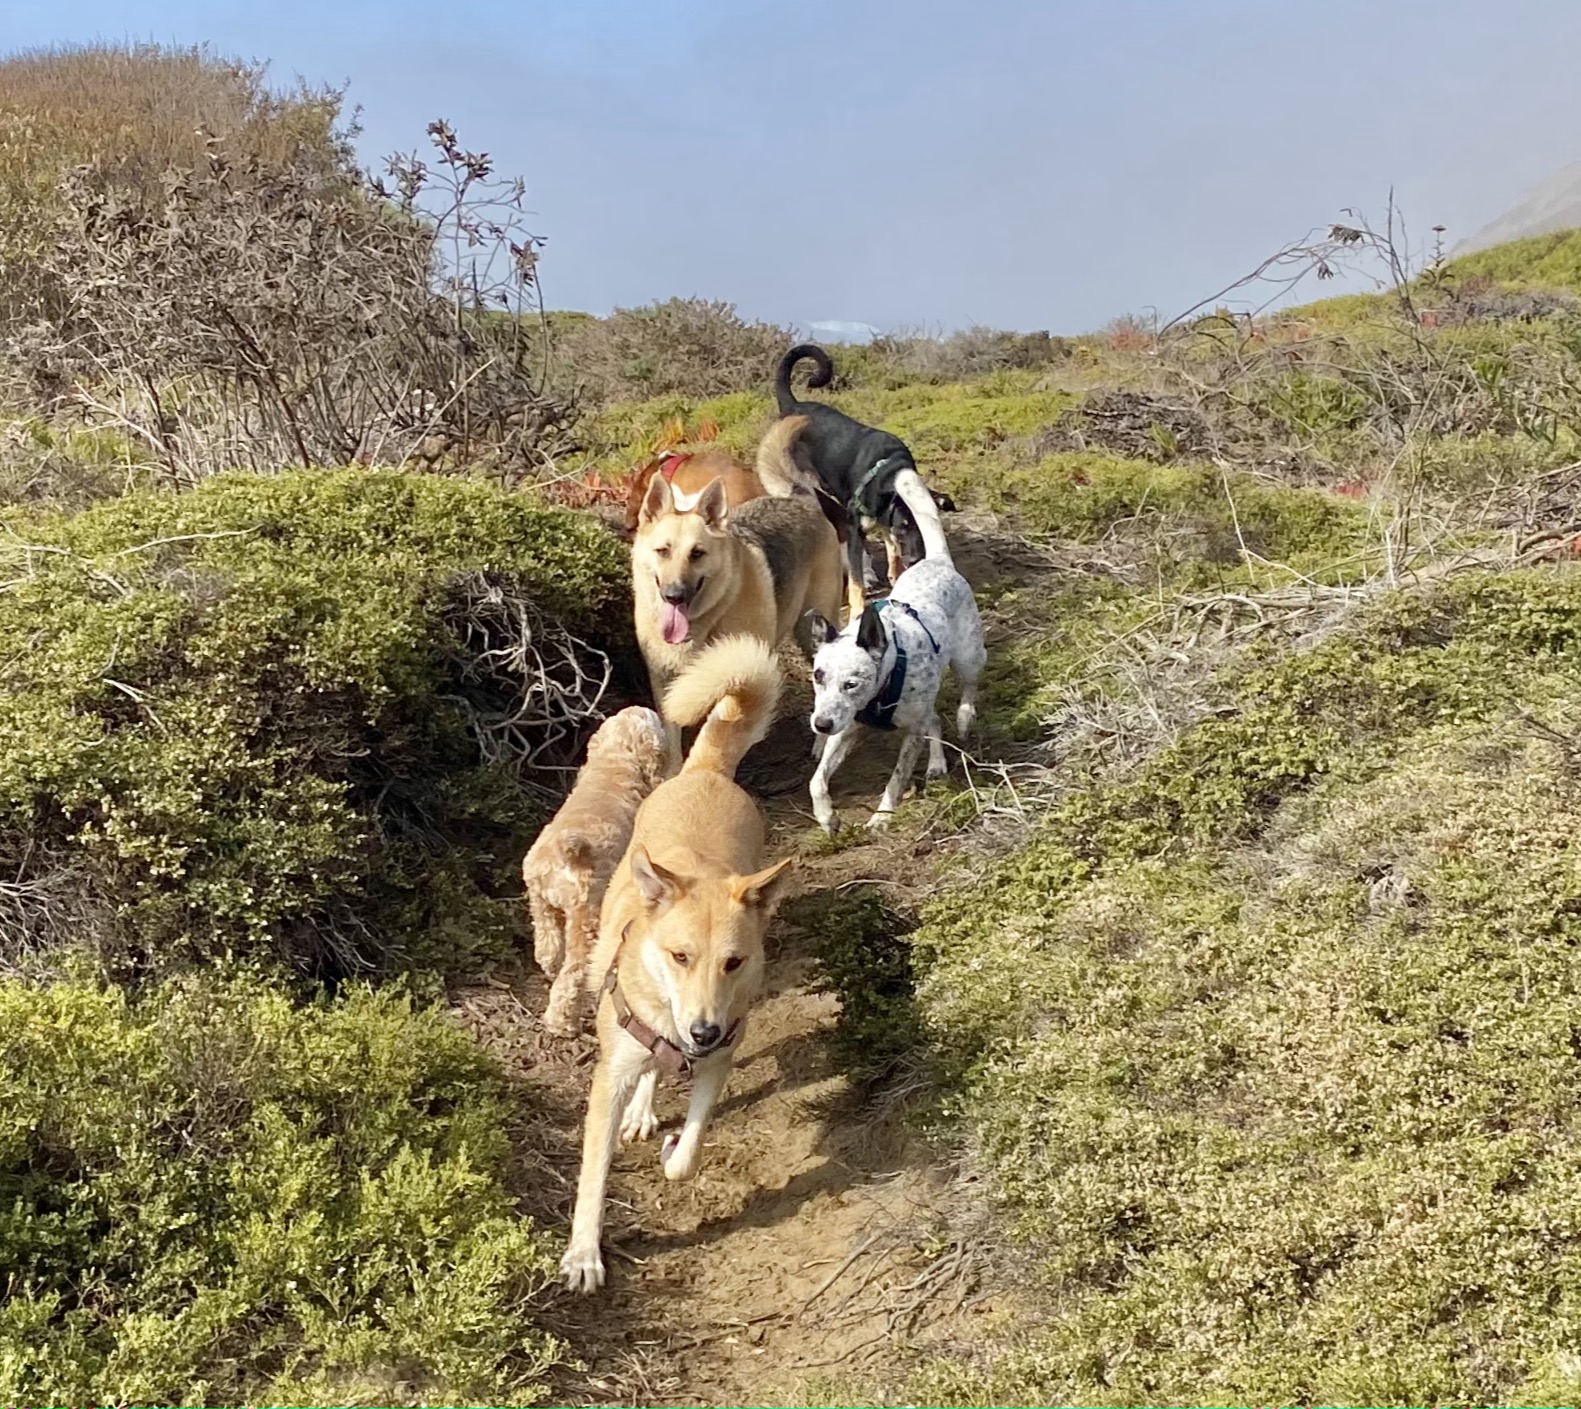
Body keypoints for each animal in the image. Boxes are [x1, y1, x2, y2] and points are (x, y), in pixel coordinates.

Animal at [522, 707, 669, 1038]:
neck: (615, 760)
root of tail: (564, 851)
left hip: (540, 902)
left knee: (547, 946)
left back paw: (549, 967)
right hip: (585, 916)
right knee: (573, 973)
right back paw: (563, 1024)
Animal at [561, 635, 794, 1293]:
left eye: (734, 962)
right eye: (680, 956)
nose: (704, 1029)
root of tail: (705, 771)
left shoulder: (718, 1062)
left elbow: (686, 1159)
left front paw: (671, 1149)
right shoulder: (610, 1077)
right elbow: (593, 1177)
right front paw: (584, 1256)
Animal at [631, 465, 843, 757]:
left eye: (697, 554)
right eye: (663, 551)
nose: (674, 596)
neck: (707, 620)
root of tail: (799, 498)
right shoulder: (666, 687)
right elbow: (673, 744)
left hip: (811, 632)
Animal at [771, 343, 957, 604]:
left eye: (924, 528)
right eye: (904, 527)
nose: (915, 560)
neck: (888, 469)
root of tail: (792, 405)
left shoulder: (884, 520)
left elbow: (891, 550)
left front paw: (894, 574)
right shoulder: (857, 530)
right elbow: (857, 577)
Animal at [805, 555, 986, 834]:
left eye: (851, 684)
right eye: (818, 676)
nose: (821, 725)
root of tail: (937, 560)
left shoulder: (912, 732)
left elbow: (897, 779)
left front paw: (882, 817)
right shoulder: (845, 731)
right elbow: (816, 781)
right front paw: (827, 817)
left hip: (967, 657)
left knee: (969, 686)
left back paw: (965, 717)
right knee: (934, 719)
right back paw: (936, 763)